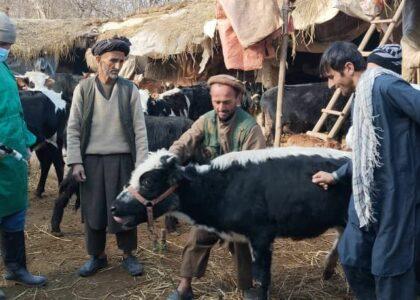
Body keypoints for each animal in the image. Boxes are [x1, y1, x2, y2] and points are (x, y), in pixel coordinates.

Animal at [110, 147, 352, 298]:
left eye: (148, 181)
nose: (113, 207)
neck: (221, 187)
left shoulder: (262, 236)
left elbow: (261, 276)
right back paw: (328, 270)